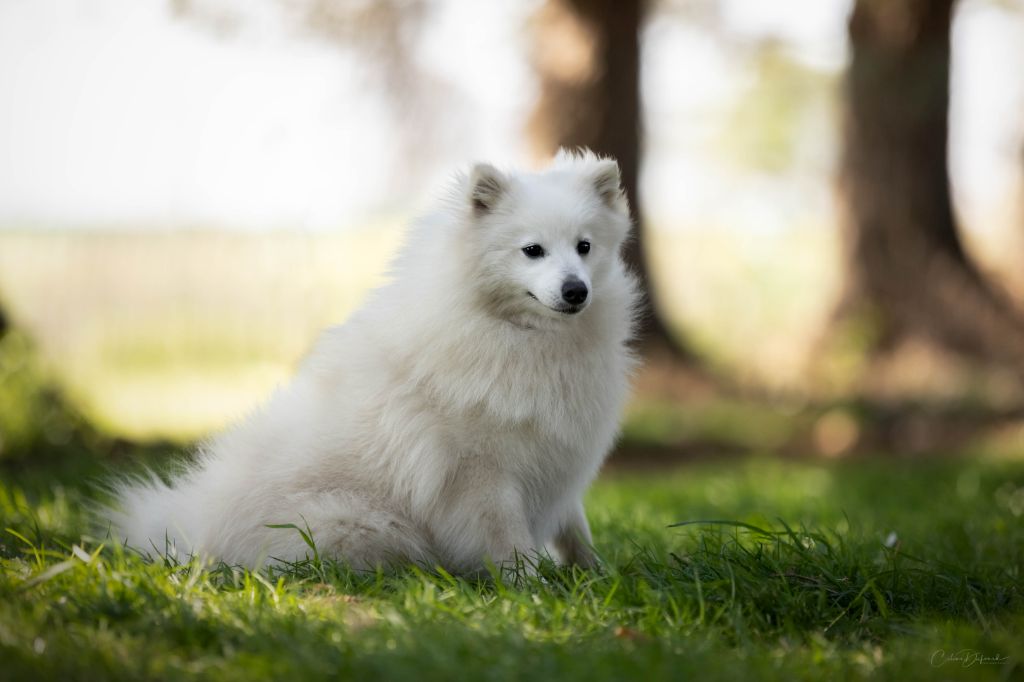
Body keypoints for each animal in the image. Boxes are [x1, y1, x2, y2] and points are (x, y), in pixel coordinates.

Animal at [108, 150, 634, 573]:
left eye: (585, 247)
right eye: (532, 250)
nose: (575, 290)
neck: (517, 335)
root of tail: (195, 532)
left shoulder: (559, 460)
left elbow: (575, 531)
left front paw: (596, 577)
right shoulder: (481, 475)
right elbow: (508, 541)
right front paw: (529, 587)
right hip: (363, 523)